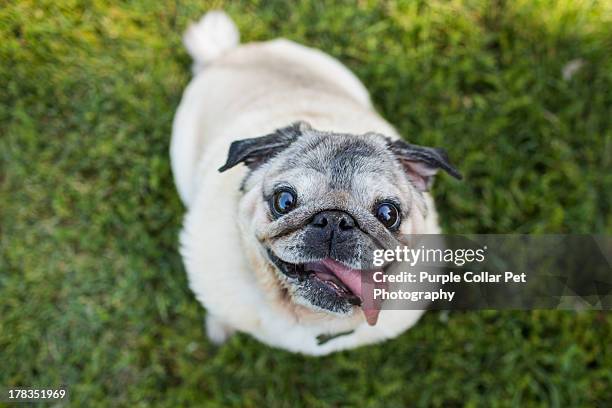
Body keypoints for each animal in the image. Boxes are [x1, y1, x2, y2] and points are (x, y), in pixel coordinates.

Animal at [170, 11, 462, 356]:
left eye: (388, 215)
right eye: (284, 202)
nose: (335, 219)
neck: (312, 317)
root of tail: (227, 54)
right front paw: (220, 327)